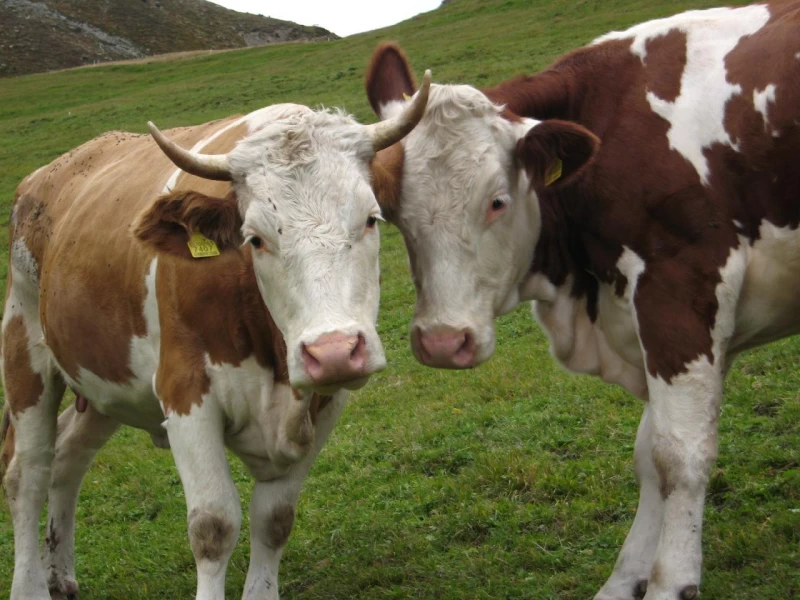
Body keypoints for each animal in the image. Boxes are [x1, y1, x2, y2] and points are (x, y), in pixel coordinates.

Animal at [0, 74, 432, 600]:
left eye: (370, 219)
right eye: (255, 238)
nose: (332, 352)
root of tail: (42, 176)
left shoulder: (327, 400)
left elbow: (275, 519)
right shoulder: (185, 392)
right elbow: (213, 525)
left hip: (105, 382)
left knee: (68, 457)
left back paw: (59, 574)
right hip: (24, 347)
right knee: (28, 472)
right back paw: (29, 583)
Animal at [368, 4, 800, 600]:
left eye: (497, 201)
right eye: (393, 211)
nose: (442, 342)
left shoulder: (682, 285)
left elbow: (680, 455)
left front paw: (670, 582)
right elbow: (648, 455)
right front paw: (624, 580)